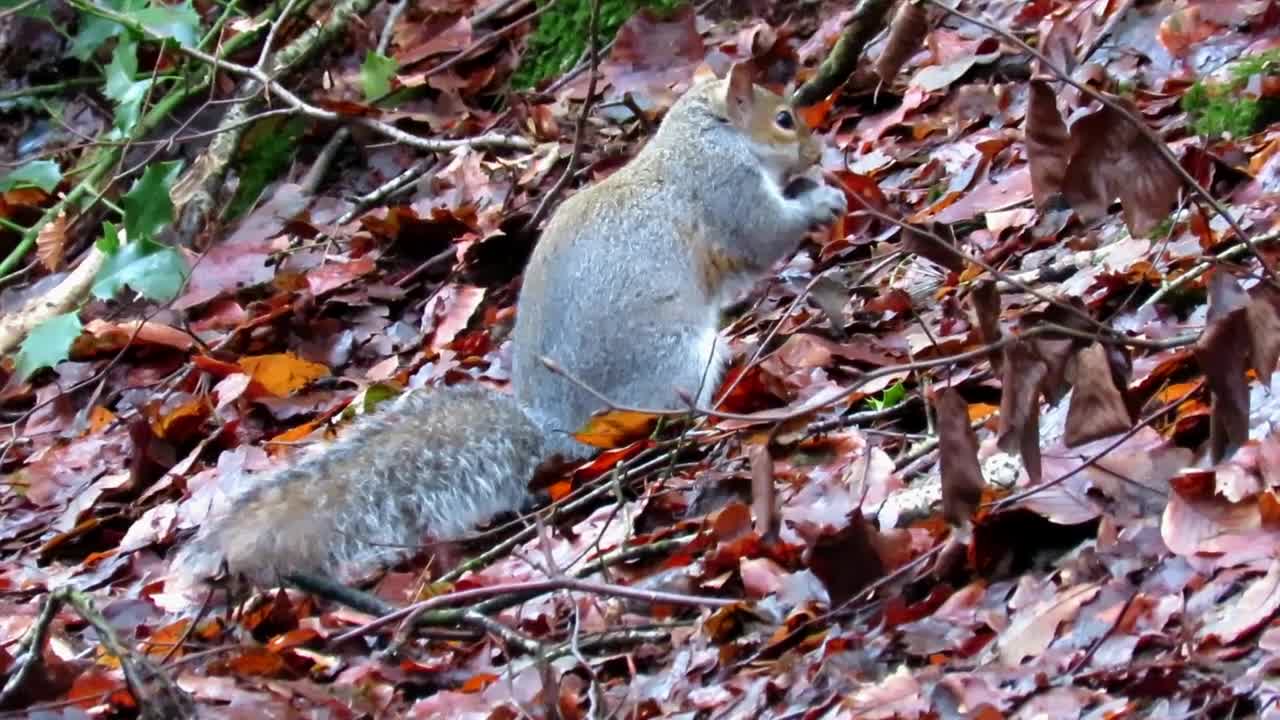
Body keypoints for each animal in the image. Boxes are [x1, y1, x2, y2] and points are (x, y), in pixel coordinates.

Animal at [172, 64, 849, 586]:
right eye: (784, 118)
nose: (818, 151)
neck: (701, 138)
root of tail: (559, 431)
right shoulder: (725, 191)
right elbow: (762, 236)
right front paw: (822, 198)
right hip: (681, 357)